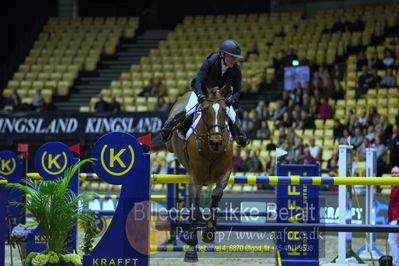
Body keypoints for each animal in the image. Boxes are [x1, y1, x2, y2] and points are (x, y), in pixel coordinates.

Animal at [166, 85, 234, 262]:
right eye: (205, 109)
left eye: (224, 109)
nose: (216, 141)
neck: (211, 150)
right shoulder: (195, 179)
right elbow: (195, 211)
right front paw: (191, 249)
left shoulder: (224, 175)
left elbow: (216, 195)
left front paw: (209, 231)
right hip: (171, 142)